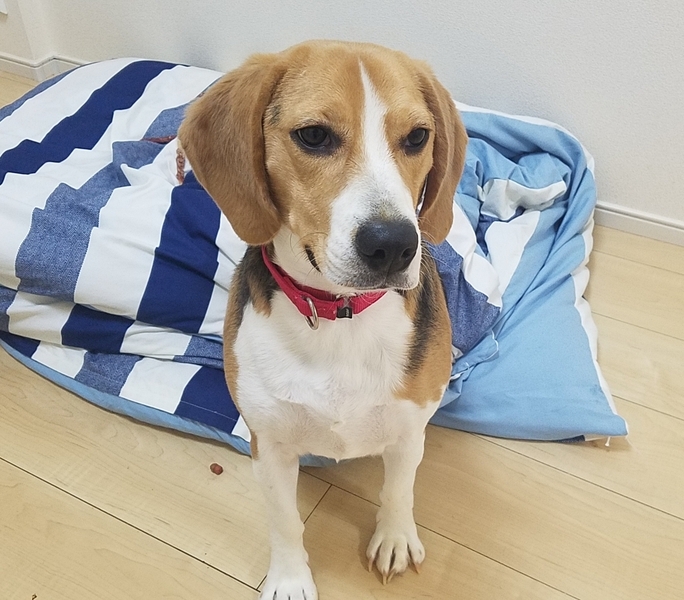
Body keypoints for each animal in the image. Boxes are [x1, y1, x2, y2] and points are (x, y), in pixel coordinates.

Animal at [178, 40, 467, 600]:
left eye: (417, 137)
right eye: (313, 136)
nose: (393, 244)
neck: (340, 314)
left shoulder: (408, 433)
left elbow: (398, 491)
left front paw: (394, 538)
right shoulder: (270, 446)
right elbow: (285, 522)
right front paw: (290, 578)